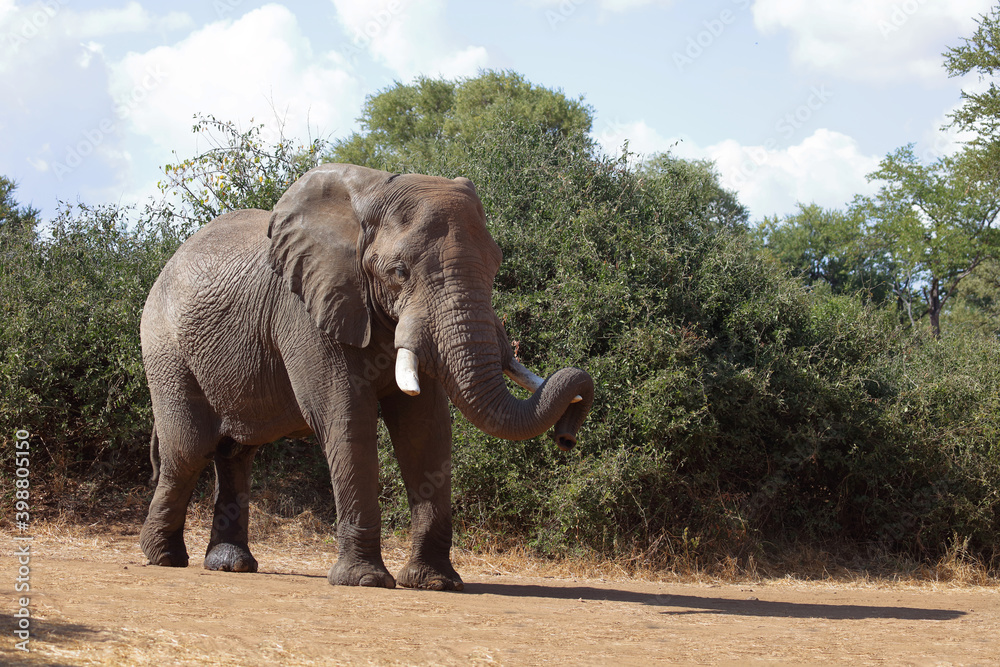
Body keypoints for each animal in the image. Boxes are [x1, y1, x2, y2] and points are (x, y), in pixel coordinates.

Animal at [138, 163, 594, 591]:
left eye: (496, 266)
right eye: (399, 272)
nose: (567, 437)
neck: (370, 195)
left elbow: (425, 430)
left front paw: (435, 583)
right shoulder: (307, 310)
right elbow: (347, 420)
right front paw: (365, 581)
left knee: (236, 451)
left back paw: (230, 564)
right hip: (164, 346)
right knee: (188, 449)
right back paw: (163, 558)